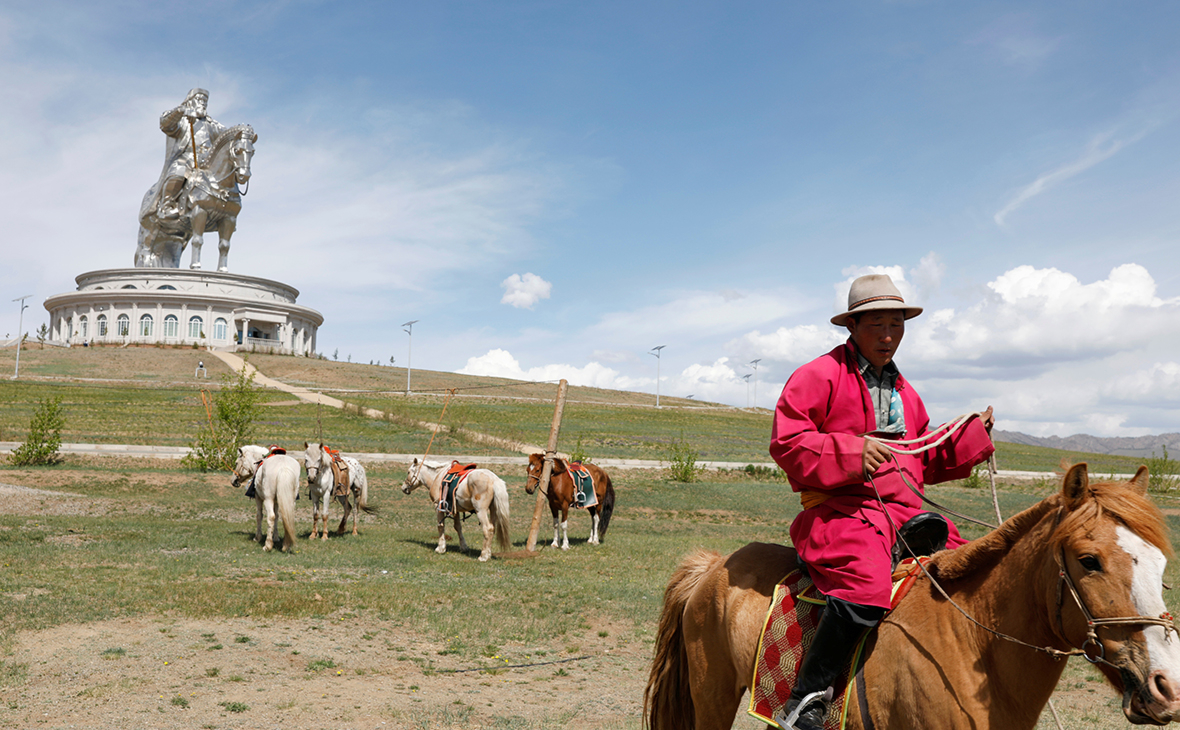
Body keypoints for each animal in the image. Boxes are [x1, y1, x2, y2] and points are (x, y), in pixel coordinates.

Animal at [646, 462, 1180, 730]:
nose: (1167, 687)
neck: (970, 645)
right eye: (1089, 560)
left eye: (1161, 563)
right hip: (713, 697)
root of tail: (713, 566)